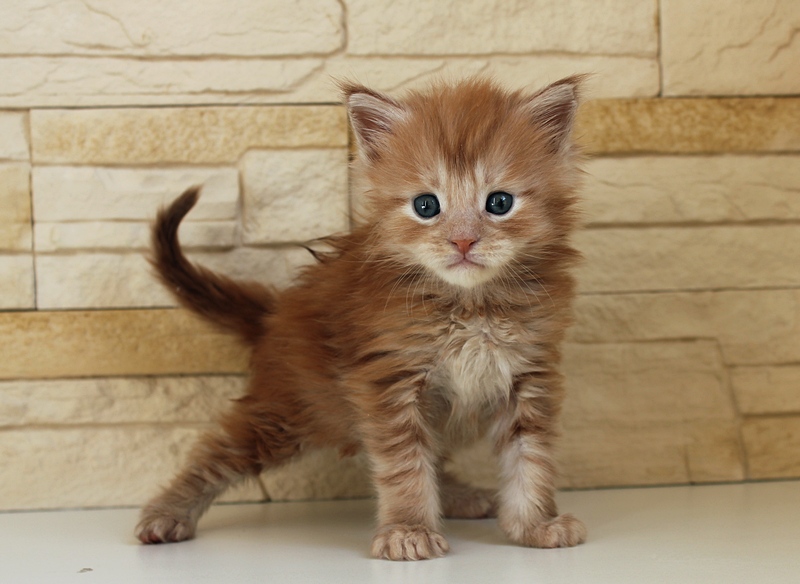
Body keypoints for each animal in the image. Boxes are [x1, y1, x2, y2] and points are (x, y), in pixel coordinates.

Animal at [135, 76, 587, 560]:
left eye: (499, 202)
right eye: (426, 206)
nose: (463, 241)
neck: (470, 305)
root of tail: (277, 312)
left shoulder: (529, 376)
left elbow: (530, 458)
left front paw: (533, 525)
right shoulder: (388, 380)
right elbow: (404, 465)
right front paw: (408, 529)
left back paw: (459, 496)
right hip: (287, 410)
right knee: (216, 452)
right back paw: (169, 512)